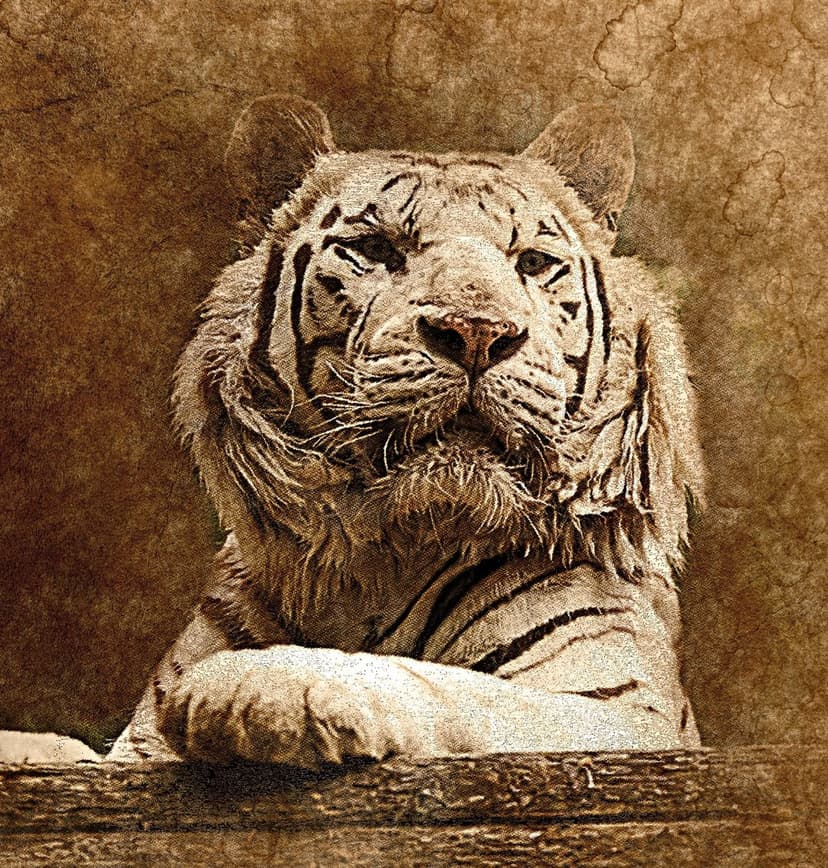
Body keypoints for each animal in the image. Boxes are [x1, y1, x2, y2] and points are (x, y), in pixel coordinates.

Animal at [108, 94, 705, 765]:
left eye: (533, 262)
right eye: (375, 249)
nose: (475, 331)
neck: (385, 557)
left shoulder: (621, 710)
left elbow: (458, 690)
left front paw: (250, 682)